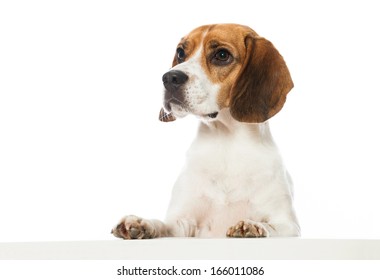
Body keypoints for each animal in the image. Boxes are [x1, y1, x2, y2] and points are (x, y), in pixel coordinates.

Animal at [112, 24, 300, 238]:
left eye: (222, 55)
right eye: (181, 53)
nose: (169, 77)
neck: (226, 141)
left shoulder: (288, 224)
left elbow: (272, 227)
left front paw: (252, 227)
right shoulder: (181, 224)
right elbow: (162, 225)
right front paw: (141, 223)